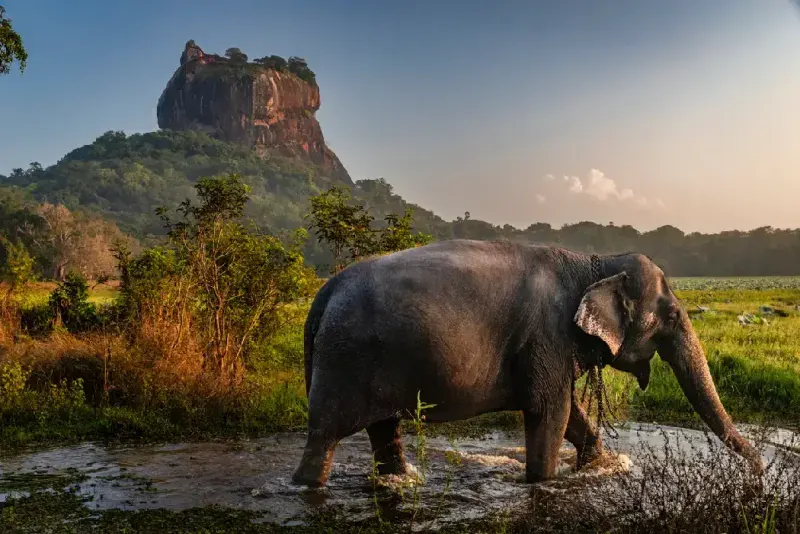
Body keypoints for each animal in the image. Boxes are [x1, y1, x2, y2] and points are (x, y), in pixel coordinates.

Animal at [291, 239, 764, 487]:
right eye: (672, 316)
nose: (759, 469)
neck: (593, 262)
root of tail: (324, 293)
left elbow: (573, 414)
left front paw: (596, 465)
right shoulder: (547, 336)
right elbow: (550, 412)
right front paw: (545, 480)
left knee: (383, 429)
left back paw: (399, 481)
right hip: (345, 362)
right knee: (325, 435)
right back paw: (308, 485)